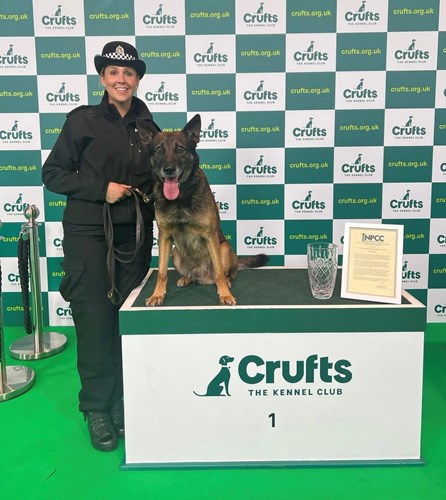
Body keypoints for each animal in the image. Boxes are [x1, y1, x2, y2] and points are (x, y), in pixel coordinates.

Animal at [136, 114, 268, 306]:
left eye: (180, 148)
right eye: (159, 149)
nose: (169, 170)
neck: (181, 197)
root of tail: (202, 275)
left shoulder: (209, 235)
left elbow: (219, 272)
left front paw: (225, 294)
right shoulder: (164, 237)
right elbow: (161, 272)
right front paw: (157, 295)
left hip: (224, 248)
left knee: (225, 273)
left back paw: (226, 282)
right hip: (175, 253)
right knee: (190, 274)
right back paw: (186, 278)